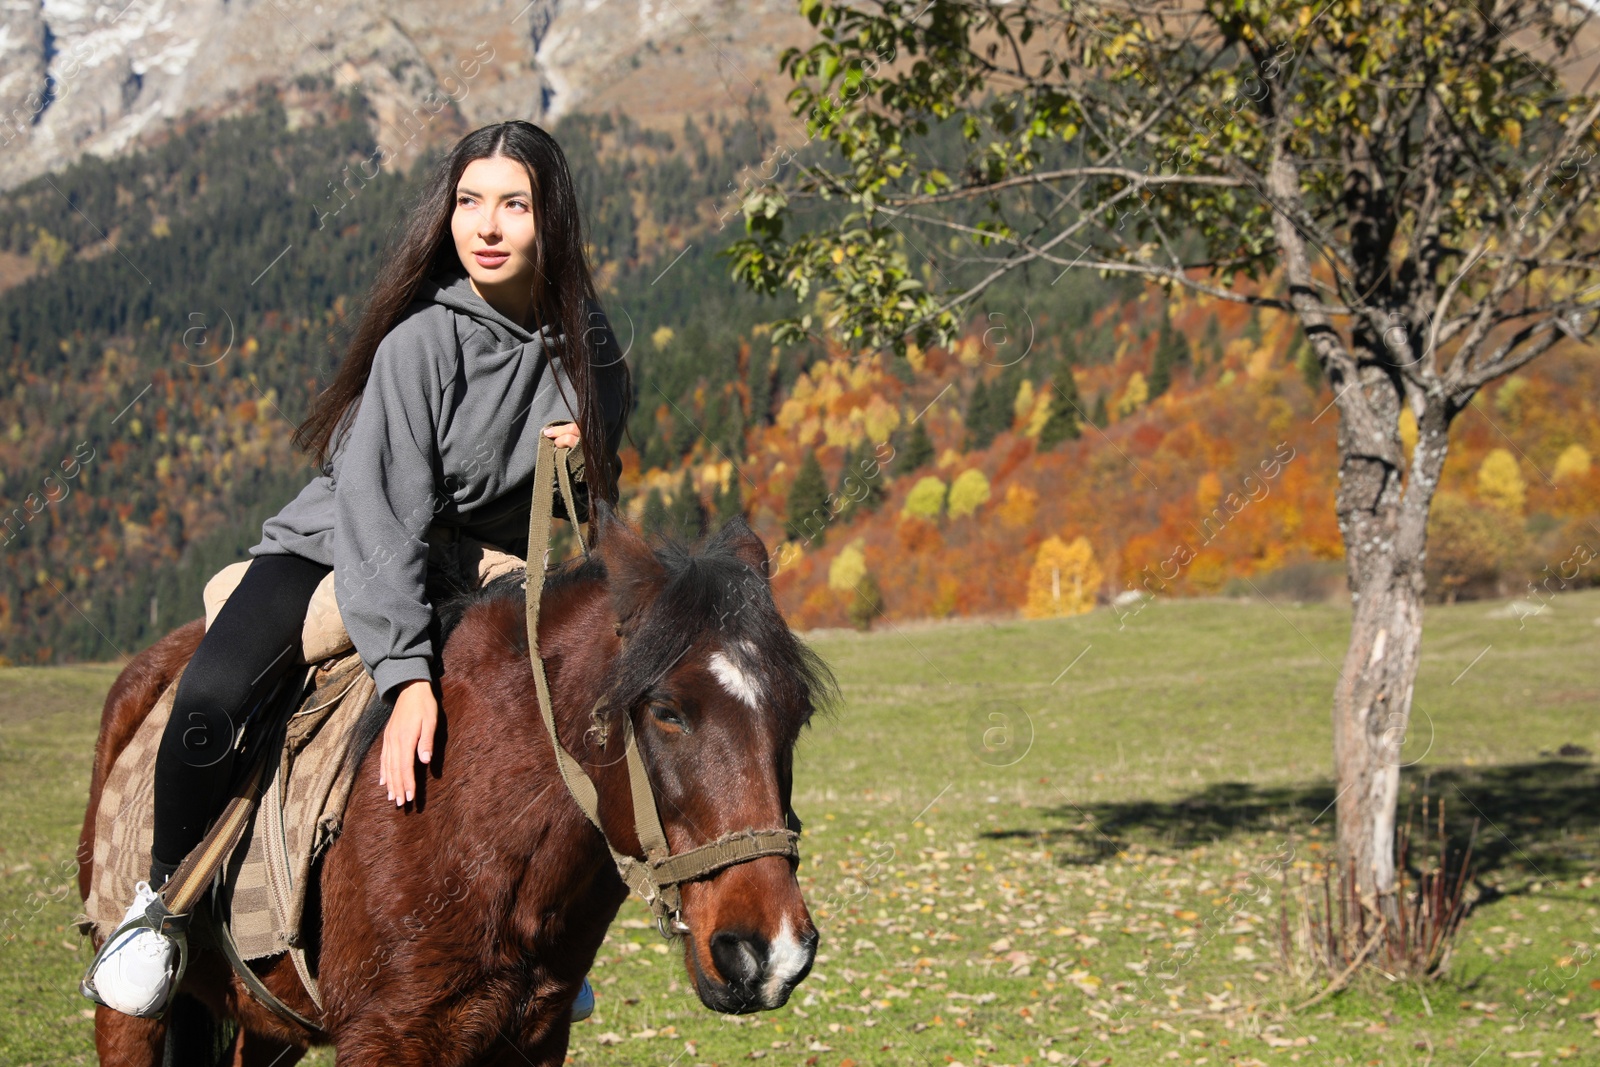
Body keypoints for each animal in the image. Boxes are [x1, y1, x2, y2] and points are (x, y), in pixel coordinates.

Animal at [76, 508, 838, 1067]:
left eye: (796, 714)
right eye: (667, 711)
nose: (769, 953)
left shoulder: (532, 1037)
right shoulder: (385, 1037)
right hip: (127, 1016)